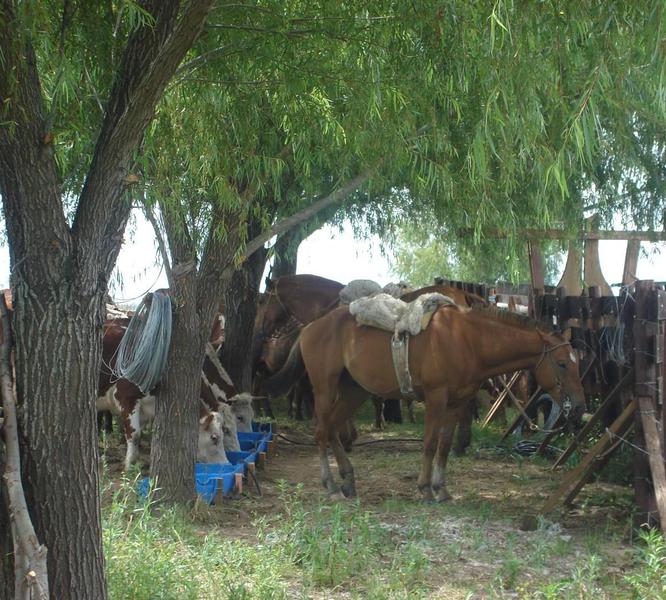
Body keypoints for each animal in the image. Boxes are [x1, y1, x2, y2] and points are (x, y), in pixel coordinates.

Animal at [262, 304, 584, 502]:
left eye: (577, 363)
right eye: (561, 363)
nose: (580, 407)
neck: (467, 340)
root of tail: (309, 328)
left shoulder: (457, 403)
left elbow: (444, 446)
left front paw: (441, 489)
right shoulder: (435, 398)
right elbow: (429, 444)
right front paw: (425, 489)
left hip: (354, 391)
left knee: (332, 431)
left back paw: (348, 480)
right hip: (324, 389)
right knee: (320, 432)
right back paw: (330, 485)